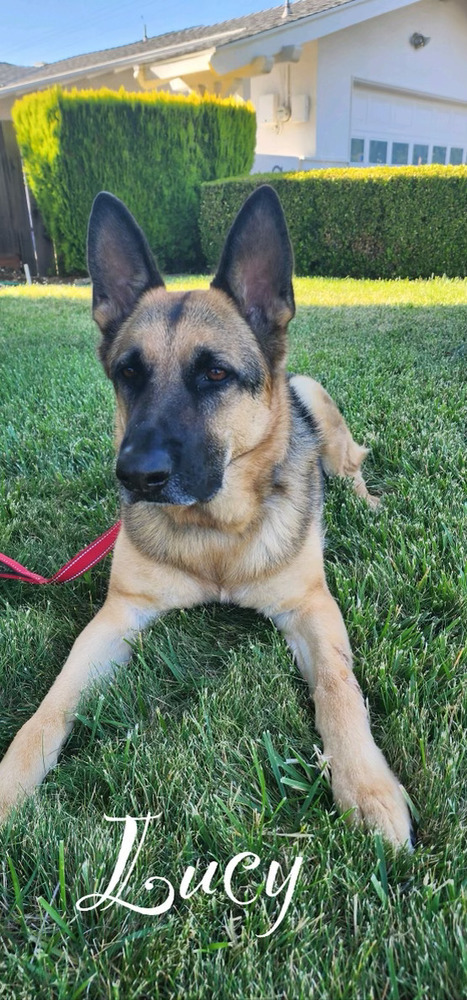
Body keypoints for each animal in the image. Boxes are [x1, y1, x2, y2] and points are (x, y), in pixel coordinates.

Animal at [0, 186, 414, 844]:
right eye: (128, 373)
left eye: (215, 374)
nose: (135, 477)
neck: (215, 535)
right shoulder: (118, 616)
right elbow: (52, 705)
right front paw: (10, 784)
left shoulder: (311, 608)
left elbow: (338, 687)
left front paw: (368, 787)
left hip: (315, 400)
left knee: (350, 465)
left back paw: (368, 502)